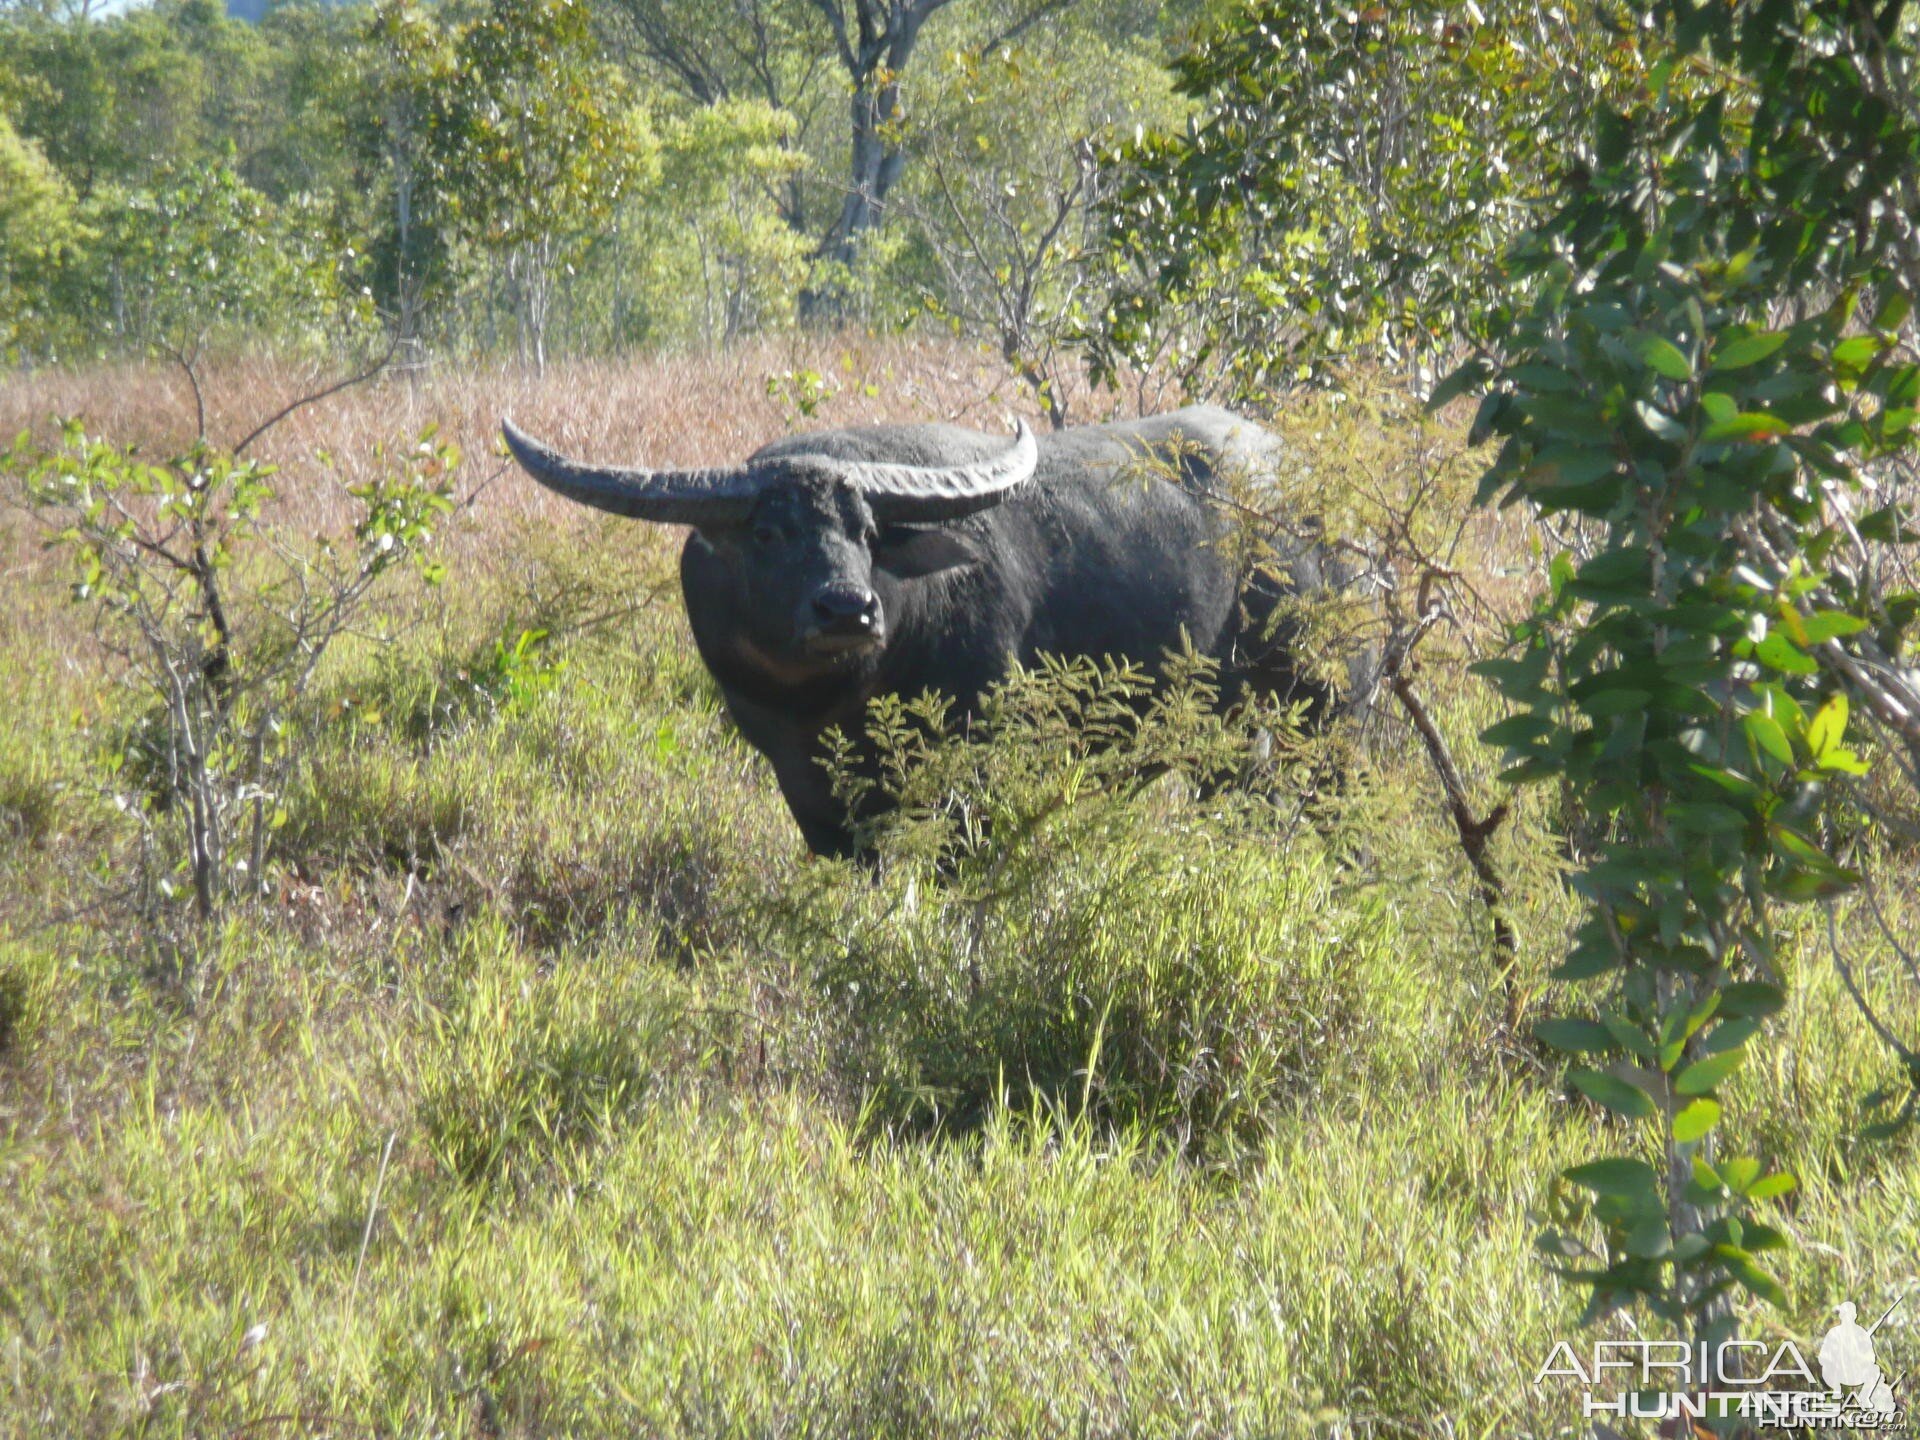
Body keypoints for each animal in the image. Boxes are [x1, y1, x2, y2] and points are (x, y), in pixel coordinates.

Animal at [506, 407, 1351, 856]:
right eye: (769, 533)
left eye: (867, 530)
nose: (847, 610)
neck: (831, 704)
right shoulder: (809, 795)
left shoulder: (965, 777)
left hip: (1332, 718)